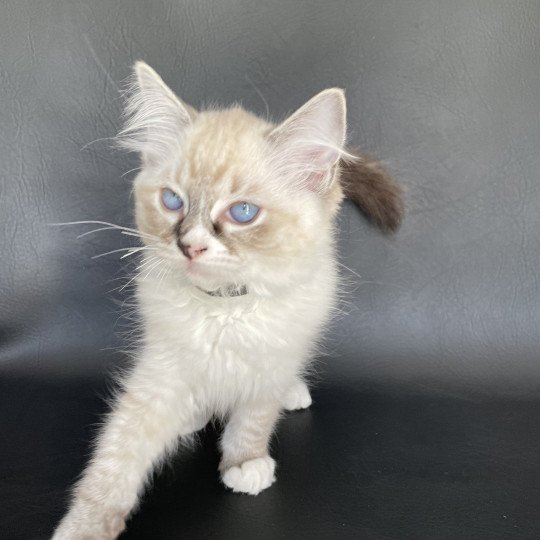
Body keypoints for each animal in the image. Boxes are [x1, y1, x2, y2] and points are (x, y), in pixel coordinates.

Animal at [52, 61, 402, 536]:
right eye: (172, 201)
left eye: (242, 213)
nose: (190, 246)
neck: (224, 306)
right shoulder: (162, 370)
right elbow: (116, 455)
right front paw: (84, 525)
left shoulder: (269, 362)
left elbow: (253, 420)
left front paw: (244, 465)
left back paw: (292, 393)